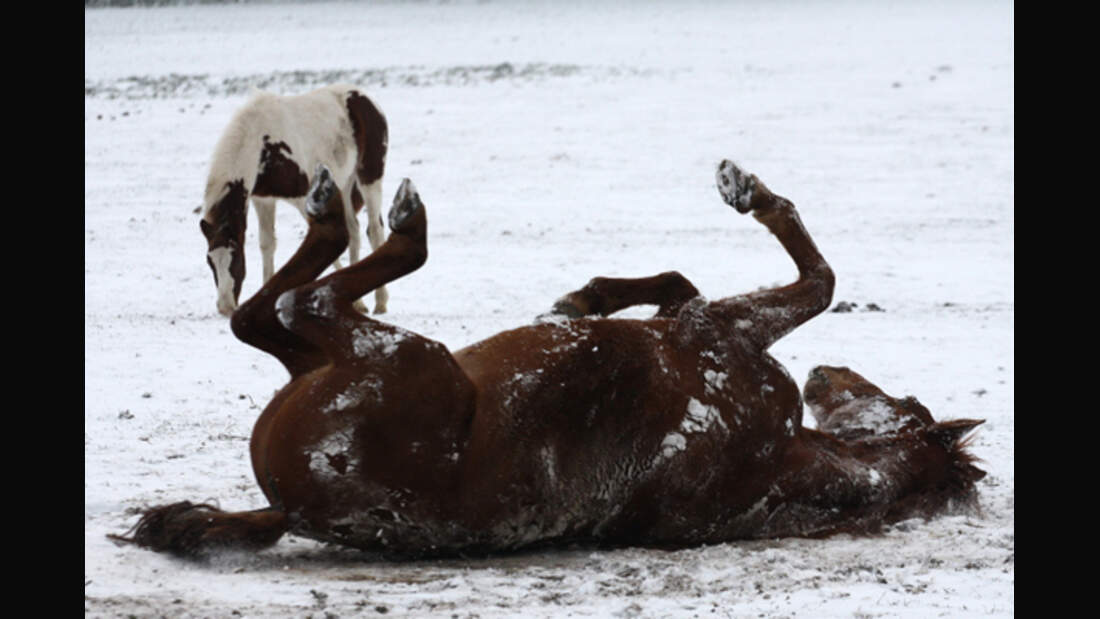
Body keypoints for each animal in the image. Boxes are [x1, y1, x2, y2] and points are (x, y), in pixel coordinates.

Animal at [122, 162, 990, 558]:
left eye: (902, 401)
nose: (826, 374)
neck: (793, 456)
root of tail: (296, 505)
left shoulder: (721, 329)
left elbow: (820, 276)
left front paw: (746, 189)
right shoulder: (706, 323)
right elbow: (684, 283)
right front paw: (582, 300)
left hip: (391, 354)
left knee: (291, 304)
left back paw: (363, 211)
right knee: (271, 313)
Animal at [200, 84, 389, 316]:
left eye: (235, 258)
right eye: (210, 261)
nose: (225, 307)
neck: (262, 145)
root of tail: (366, 99)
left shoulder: (303, 197)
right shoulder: (264, 200)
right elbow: (267, 244)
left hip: (369, 178)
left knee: (375, 231)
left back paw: (380, 301)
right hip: (345, 183)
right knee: (354, 230)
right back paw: (358, 302)